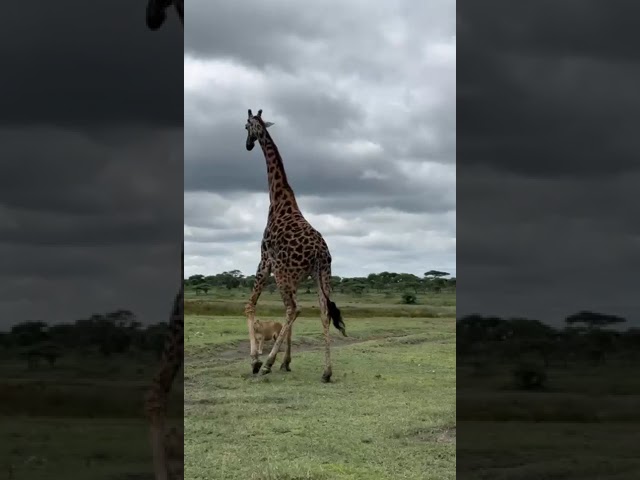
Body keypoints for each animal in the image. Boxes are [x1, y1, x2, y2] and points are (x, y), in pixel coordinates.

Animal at [244, 108, 344, 382]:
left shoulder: (265, 260)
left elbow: (250, 305)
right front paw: (286, 361)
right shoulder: (298, 277)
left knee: (292, 309)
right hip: (322, 275)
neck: (278, 198)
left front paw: (256, 360)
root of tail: (320, 253)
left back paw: (267, 364)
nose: (247, 145)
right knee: (322, 312)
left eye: (246, 126)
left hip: (283, 273)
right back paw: (326, 372)